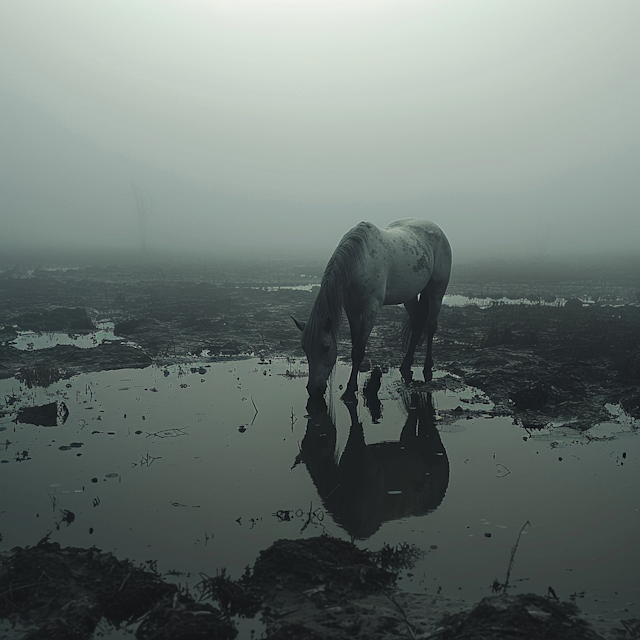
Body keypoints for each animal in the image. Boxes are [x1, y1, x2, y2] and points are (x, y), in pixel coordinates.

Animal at [292, 220, 452, 400]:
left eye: (326, 347)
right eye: (304, 348)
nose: (313, 390)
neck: (360, 261)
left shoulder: (370, 309)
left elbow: (358, 350)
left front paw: (350, 390)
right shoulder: (351, 309)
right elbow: (354, 344)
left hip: (436, 291)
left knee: (430, 326)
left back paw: (427, 365)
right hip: (409, 296)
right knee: (417, 325)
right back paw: (406, 364)